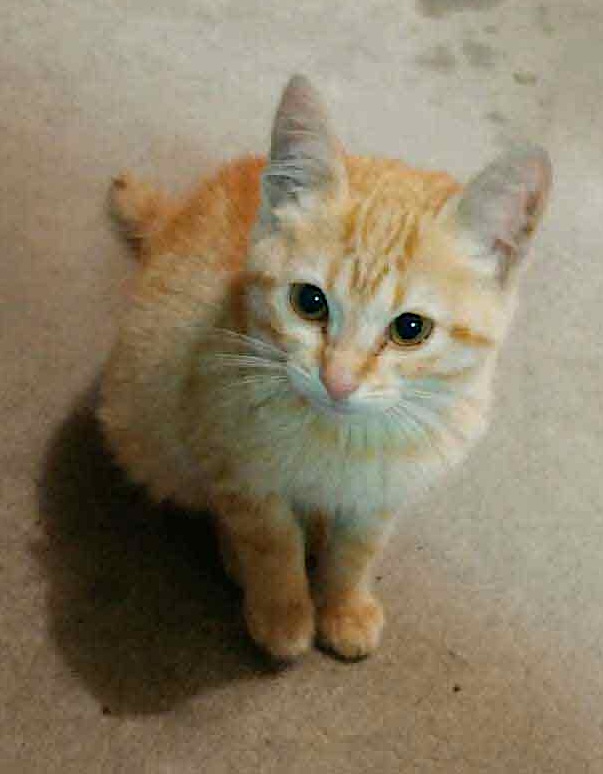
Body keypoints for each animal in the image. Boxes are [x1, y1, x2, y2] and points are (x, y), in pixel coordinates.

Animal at [99, 75, 551, 660]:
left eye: (411, 329)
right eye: (309, 302)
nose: (338, 380)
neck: (341, 441)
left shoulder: (383, 495)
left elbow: (357, 551)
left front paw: (343, 606)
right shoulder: (230, 454)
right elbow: (269, 540)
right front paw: (284, 612)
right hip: (145, 417)